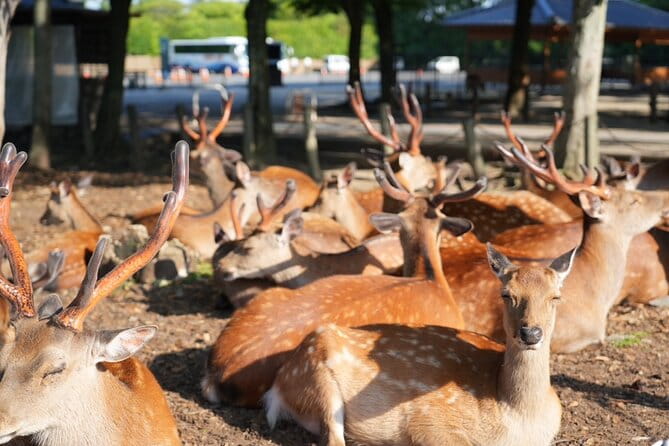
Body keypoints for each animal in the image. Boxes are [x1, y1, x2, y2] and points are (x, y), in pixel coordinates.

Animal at [265, 244, 575, 446]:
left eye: (555, 297)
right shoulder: (429, 420)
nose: (530, 333)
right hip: (319, 380)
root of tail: (276, 386)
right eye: (506, 294)